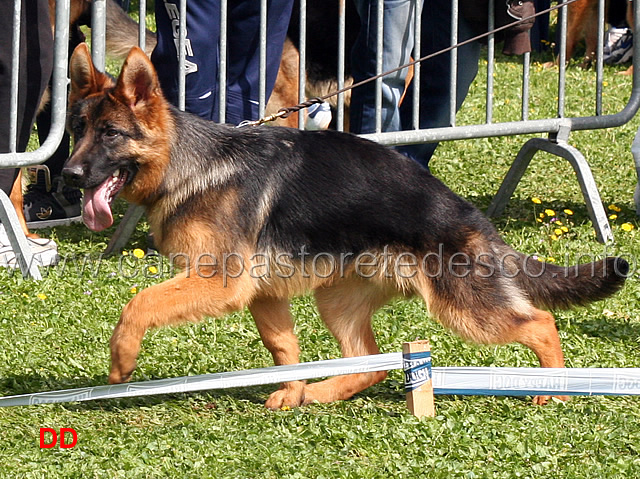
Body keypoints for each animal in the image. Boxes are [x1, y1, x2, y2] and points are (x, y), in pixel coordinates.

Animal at [62, 45, 628, 410]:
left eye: (111, 134)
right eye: (76, 130)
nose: (67, 175)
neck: (187, 164)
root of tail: (468, 214)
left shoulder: (221, 283)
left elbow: (138, 303)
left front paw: (121, 364)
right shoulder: (263, 294)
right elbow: (285, 352)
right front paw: (291, 393)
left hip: (464, 309)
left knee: (541, 323)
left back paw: (553, 387)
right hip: (337, 300)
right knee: (373, 363)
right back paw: (320, 391)